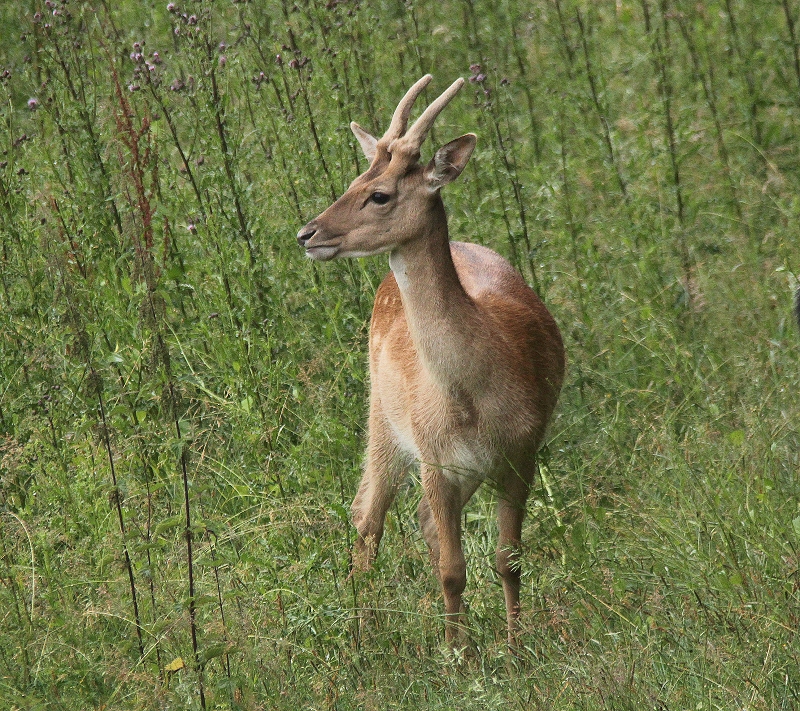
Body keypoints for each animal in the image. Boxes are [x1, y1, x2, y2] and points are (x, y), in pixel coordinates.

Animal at [296, 75, 564, 648]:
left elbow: (507, 560)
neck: (473, 397)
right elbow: (451, 570)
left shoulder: (521, 453)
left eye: (379, 193)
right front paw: (458, 654)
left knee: (411, 519)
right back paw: (365, 630)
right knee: (366, 516)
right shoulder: (434, 458)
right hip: (381, 414)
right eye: (353, 179)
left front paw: (514, 648)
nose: (307, 234)